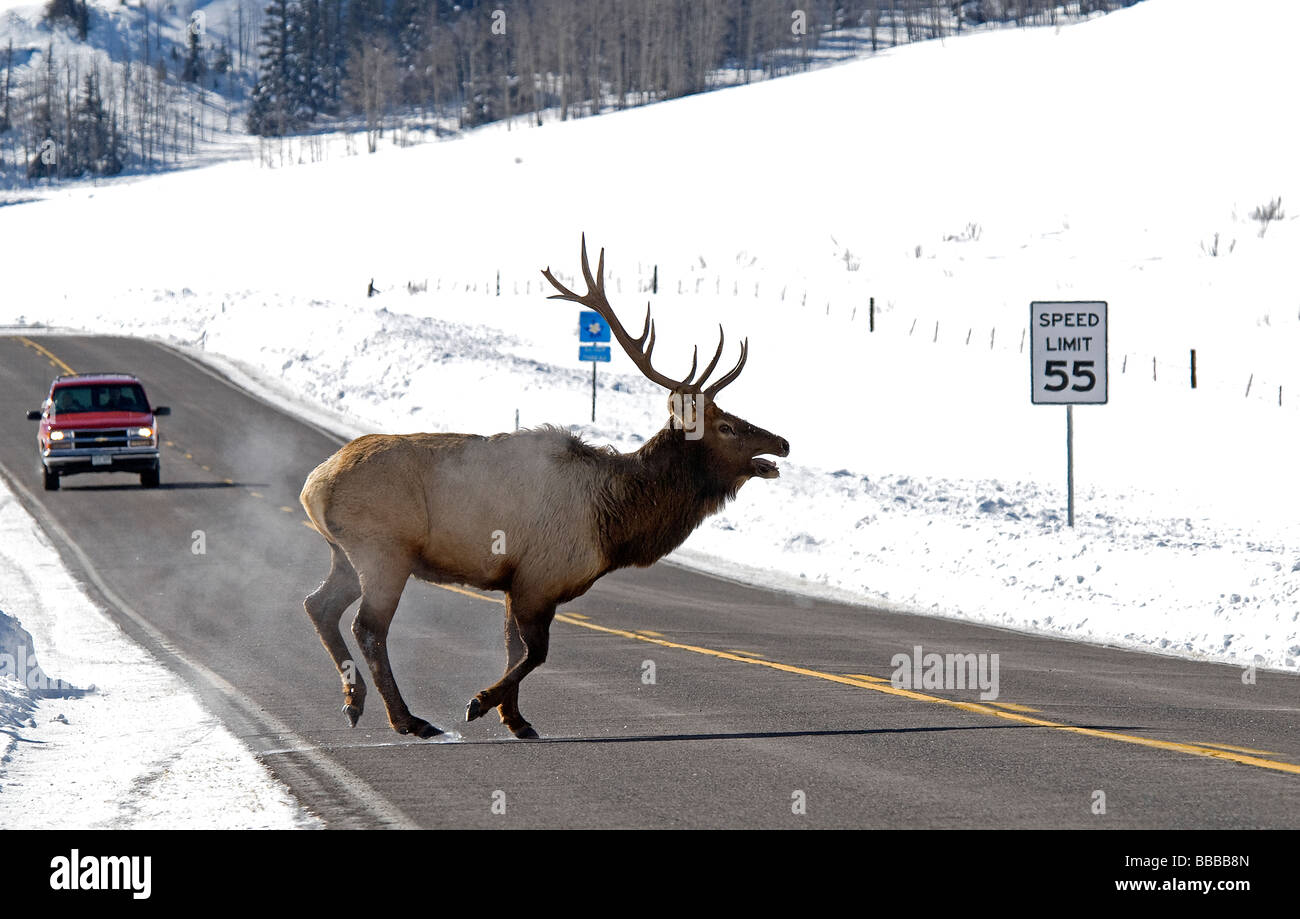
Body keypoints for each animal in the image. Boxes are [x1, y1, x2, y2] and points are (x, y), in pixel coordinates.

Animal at [299, 237, 790, 739]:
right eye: (727, 427)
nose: (783, 443)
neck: (615, 524)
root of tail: (313, 486)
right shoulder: (539, 578)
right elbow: (536, 653)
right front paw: (480, 703)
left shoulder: (518, 580)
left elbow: (515, 649)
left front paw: (515, 719)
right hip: (384, 551)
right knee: (367, 627)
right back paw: (408, 720)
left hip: (346, 553)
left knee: (319, 606)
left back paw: (354, 702)